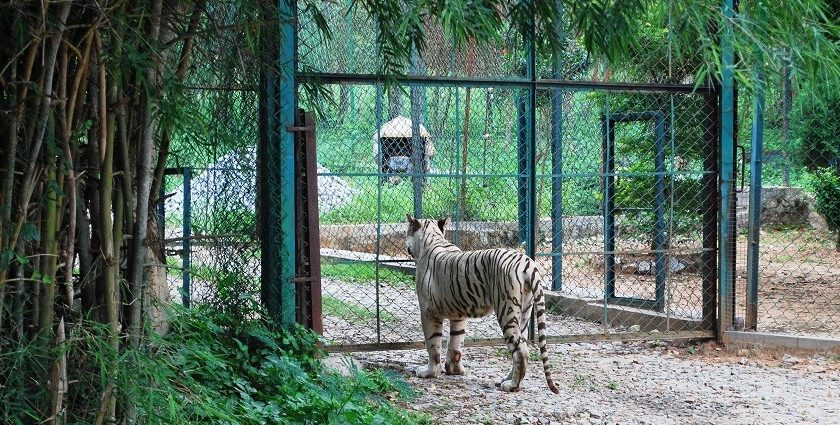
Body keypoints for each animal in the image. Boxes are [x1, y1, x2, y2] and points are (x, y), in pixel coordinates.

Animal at [406, 214, 556, 392]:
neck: (432, 238)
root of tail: (526, 261)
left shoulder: (428, 313)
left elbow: (433, 345)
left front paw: (429, 372)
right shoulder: (458, 315)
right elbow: (456, 343)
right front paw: (454, 370)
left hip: (507, 311)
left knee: (520, 351)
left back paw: (512, 386)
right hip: (525, 314)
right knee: (523, 346)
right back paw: (506, 379)